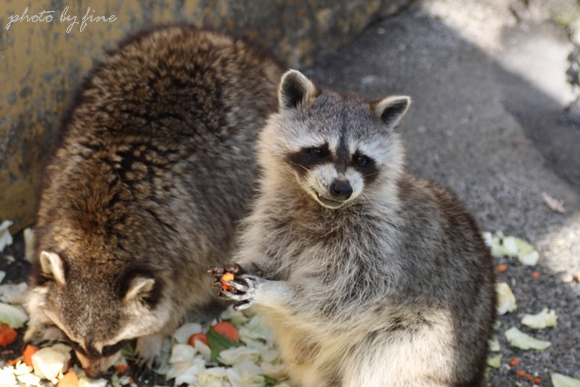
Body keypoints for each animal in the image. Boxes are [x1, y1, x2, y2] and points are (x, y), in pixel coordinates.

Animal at [27, 25, 286, 378]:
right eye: (76, 340)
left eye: (111, 345)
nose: (94, 374)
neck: (96, 237)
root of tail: (207, 35)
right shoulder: (53, 197)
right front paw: (50, 325)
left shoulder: (191, 242)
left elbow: (178, 298)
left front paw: (153, 337)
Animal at [212, 69, 494, 387]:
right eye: (318, 151)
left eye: (361, 159)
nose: (342, 188)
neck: (318, 207)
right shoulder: (277, 218)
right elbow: (274, 259)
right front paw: (246, 266)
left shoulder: (378, 244)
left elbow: (340, 298)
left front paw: (275, 291)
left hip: (422, 343)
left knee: (377, 360)